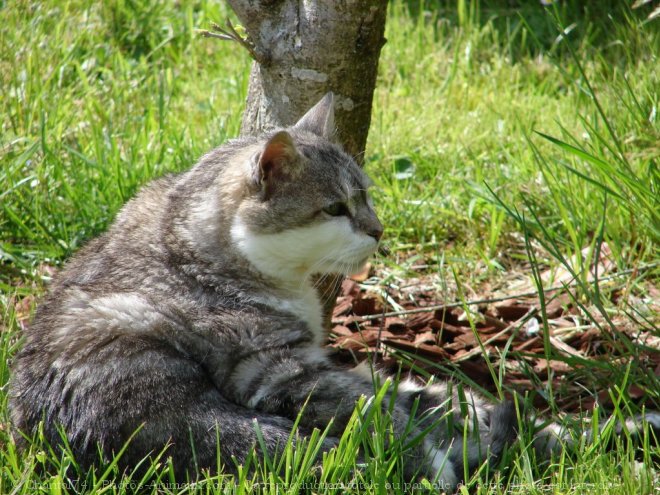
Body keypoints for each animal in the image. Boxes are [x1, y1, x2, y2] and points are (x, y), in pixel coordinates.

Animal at [7, 94, 656, 492]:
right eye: (335, 207)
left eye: (364, 195)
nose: (378, 230)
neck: (187, 242)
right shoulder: (279, 372)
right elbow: (379, 412)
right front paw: (429, 452)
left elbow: (406, 402)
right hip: (213, 421)